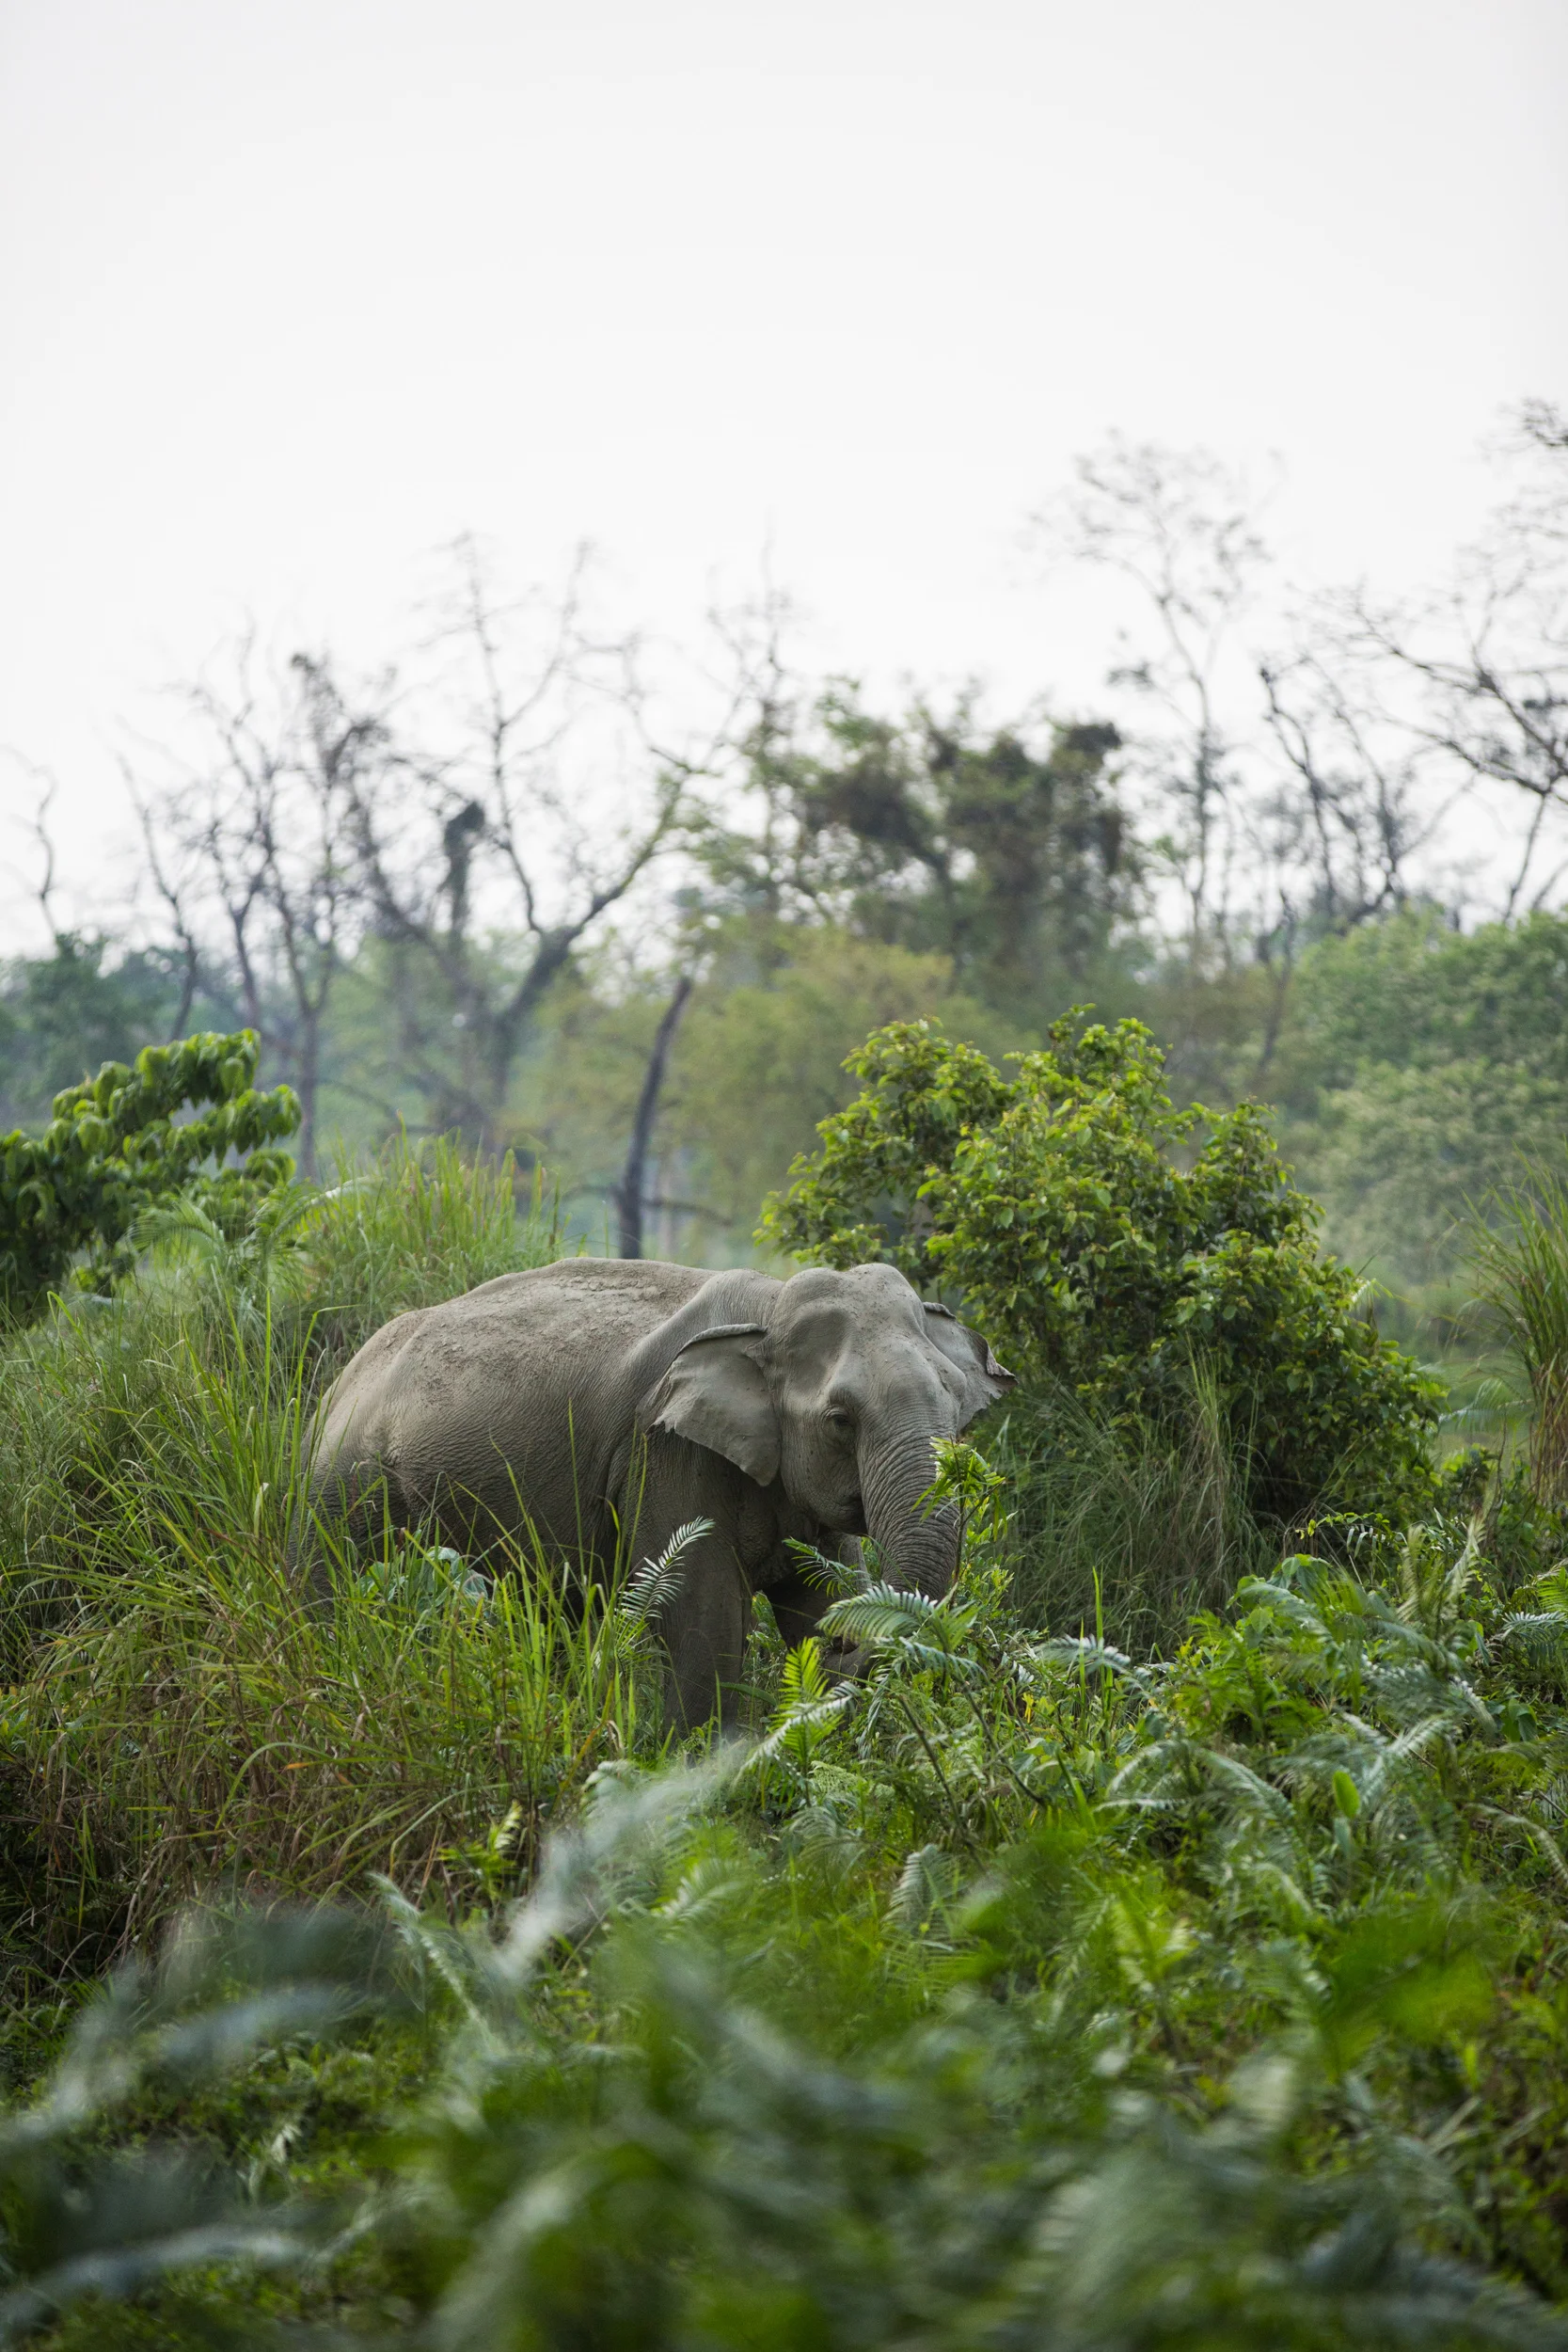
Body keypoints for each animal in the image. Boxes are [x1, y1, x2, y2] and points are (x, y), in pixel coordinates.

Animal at [301, 1255, 1014, 1725]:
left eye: (957, 1409)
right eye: (841, 1420)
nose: (852, 1651)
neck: (771, 1308)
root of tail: (341, 1378)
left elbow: (817, 1600)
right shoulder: (668, 1452)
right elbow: (701, 1617)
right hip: (342, 1479)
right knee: (325, 1588)